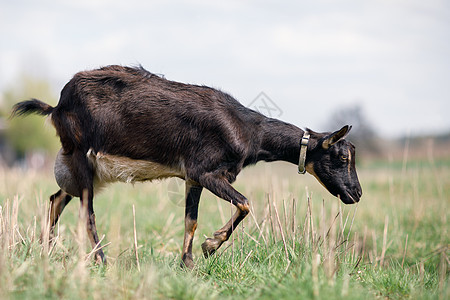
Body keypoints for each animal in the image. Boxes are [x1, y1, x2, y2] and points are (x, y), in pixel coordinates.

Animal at [10, 65, 362, 268]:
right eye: (343, 158)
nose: (356, 194)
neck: (249, 129)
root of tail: (57, 105)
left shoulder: (192, 178)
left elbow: (190, 221)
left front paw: (188, 262)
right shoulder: (206, 172)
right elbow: (245, 203)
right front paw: (210, 247)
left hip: (83, 168)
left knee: (57, 199)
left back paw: (46, 250)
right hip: (82, 158)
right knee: (86, 212)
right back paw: (101, 260)